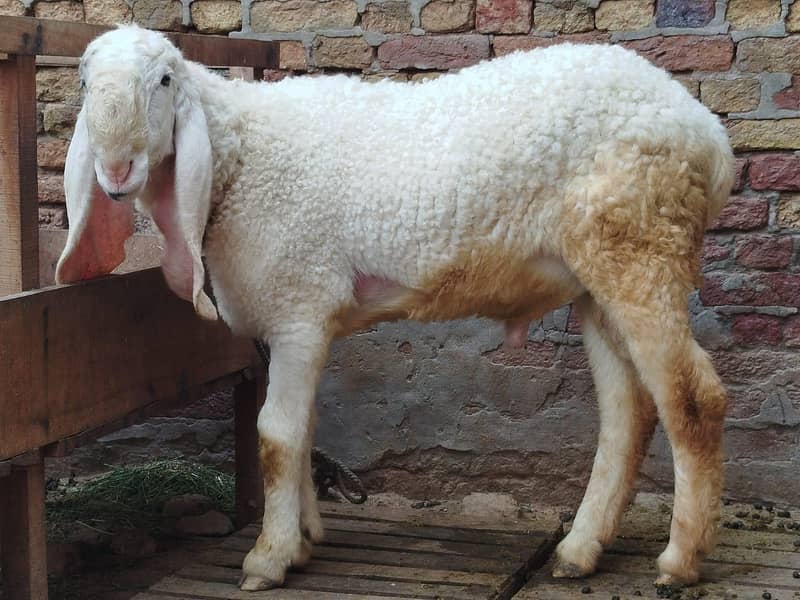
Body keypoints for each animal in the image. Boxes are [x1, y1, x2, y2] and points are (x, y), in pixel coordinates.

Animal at [56, 24, 735, 592]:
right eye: (85, 83)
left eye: (165, 81)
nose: (115, 170)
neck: (239, 156)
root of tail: (711, 136)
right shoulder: (302, 318)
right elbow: (304, 431)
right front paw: (304, 538)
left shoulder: (299, 304)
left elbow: (276, 435)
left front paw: (269, 557)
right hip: (601, 276)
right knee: (628, 411)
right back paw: (580, 550)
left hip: (643, 247)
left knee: (691, 399)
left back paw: (680, 560)